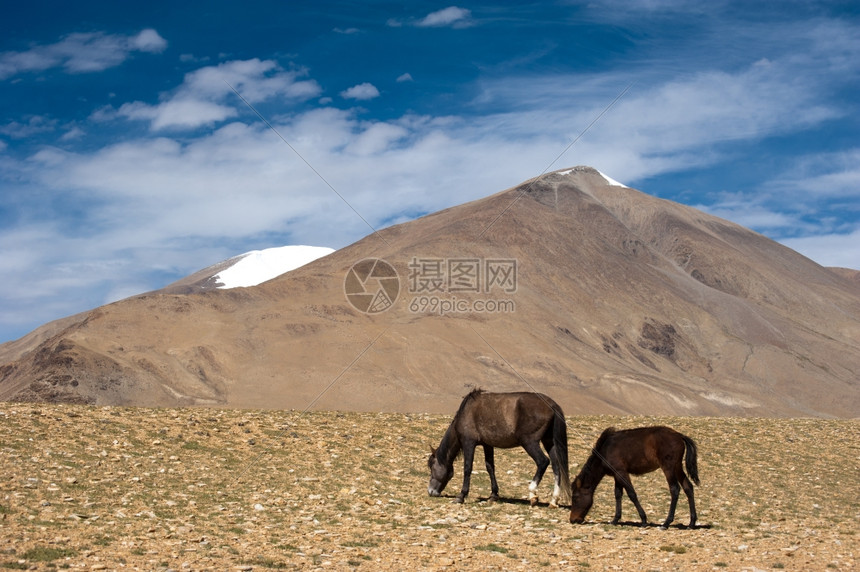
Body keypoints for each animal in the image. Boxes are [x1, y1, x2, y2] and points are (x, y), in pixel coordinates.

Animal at [428, 388, 572, 504]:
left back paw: (532, 494)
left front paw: (461, 496)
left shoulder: (468, 443)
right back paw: (554, 500)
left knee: (543, 461)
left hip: (529, 442)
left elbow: (467, 468)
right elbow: (490, 467)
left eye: (432, 467)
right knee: (556, 466)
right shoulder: (487, 445)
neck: (466, 412)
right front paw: (493, 495)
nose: (431, 491)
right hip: (549, 442)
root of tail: (552, 405)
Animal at [572, 424, 700, 528]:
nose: (573, 520)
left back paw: (666, 523)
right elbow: (618, 494)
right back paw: (691, 523)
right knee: (688, 487)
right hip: (677, 467)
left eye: (575, 497)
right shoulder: (617, 475)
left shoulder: (621, 472)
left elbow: (631, 494)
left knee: (675, 489)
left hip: (668, 467)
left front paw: (643, 520)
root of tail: (679, 435)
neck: (605, 451)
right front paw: (615, 520)